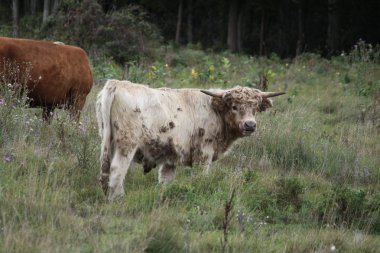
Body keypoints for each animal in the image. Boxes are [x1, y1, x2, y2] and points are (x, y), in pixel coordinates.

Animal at [95, 79, 284, 200]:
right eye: (234, 106)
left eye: (255, 107)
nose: (250, 125)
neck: (215, 111)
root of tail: (117, 84)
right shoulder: (204, 154)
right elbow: (202, 177)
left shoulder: (170, 159)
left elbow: (165, 180)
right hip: (126, 144)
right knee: (117, 170)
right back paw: (119, 197)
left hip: (107, 142)